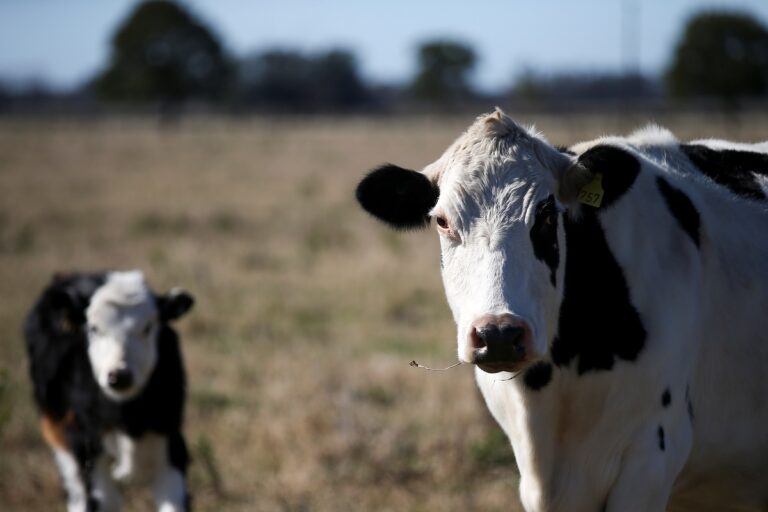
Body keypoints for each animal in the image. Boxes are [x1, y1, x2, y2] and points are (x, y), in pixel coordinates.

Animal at [24, 270, 194, 512]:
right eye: (94, 328)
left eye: (148, 327)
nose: (120, 375)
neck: (126, 417)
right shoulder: (87, 453)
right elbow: (103, 500)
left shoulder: (170, 445)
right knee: (77, 493)